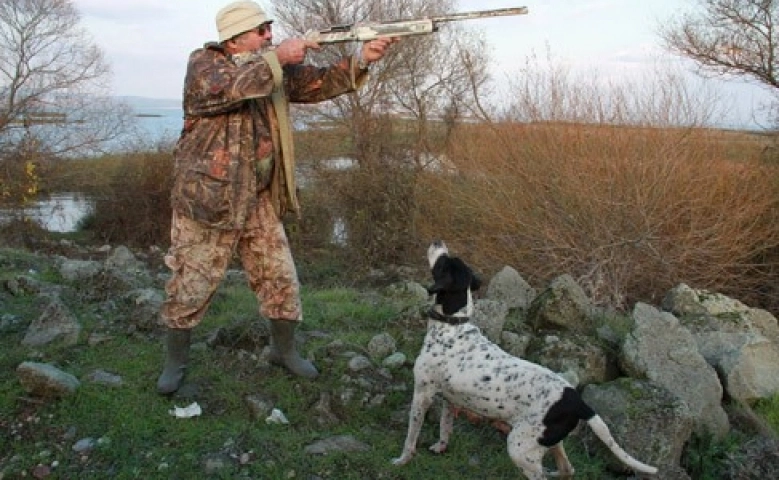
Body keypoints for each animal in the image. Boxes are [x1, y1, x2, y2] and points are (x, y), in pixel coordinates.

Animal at [390, 242, 660, 480]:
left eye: (443, 261)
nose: (438, 241)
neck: (452, 324)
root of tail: (577, 401)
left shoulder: (422, 394)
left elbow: (410, 438)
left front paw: (402, 460)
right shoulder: (451, 400)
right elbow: (445, 428)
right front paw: (440, 447)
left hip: (519, 448)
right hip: (548, 443)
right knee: (567, 470)